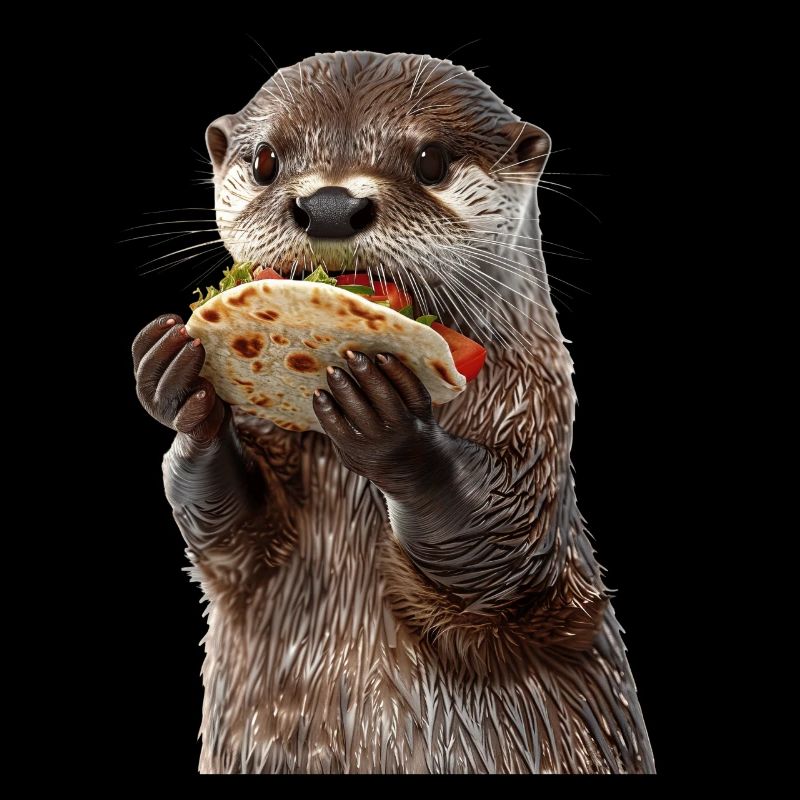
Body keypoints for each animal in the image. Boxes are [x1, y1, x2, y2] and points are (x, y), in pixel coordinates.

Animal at [132, 51, 655, 773]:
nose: (328, 205)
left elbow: (505, 549)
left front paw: (391, 429)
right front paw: (176, 379)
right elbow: (230, 533)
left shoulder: (537, 420)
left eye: (431, 161)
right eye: (266, 159)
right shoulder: (252, 524)